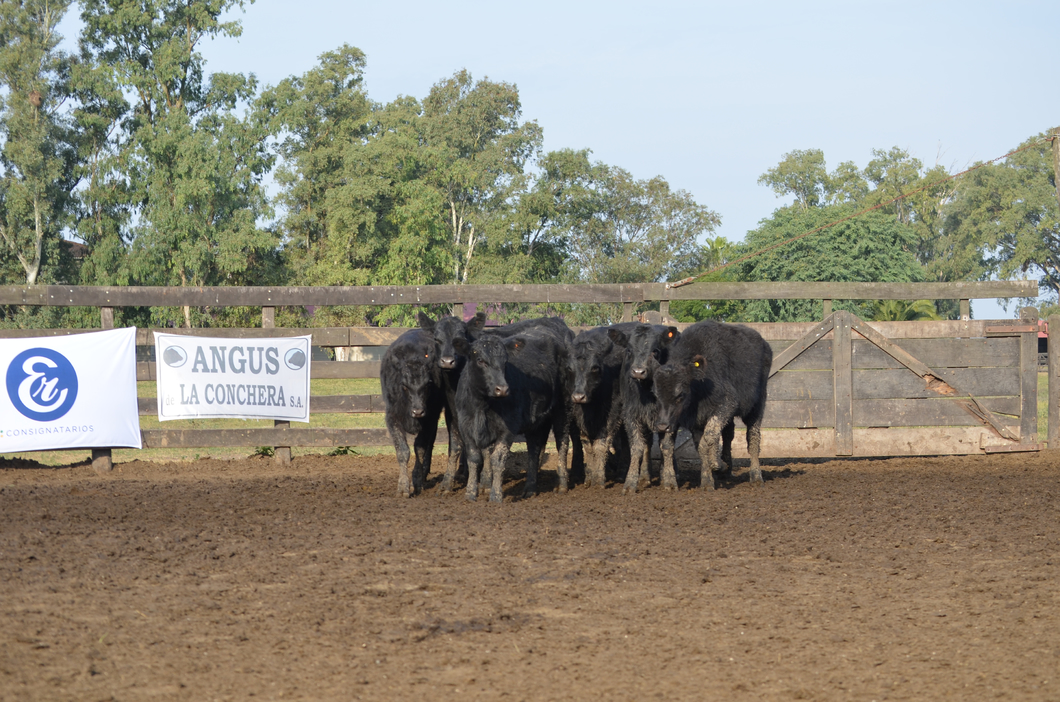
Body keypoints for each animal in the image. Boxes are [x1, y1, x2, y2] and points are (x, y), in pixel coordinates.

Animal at [379, 330, 445, 500]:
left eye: (428, 383)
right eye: (404, 385)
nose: (418, 411)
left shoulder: (429, 419)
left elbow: (420, 448)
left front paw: (417, 480)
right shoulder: (392, 417)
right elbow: (403, 451)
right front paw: (403, 486)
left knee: (430, 444)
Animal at [453, 335, 572, 502]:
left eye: (505, 362)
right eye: (481, 360)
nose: (502, 389)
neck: (481, 406)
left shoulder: (507, 429)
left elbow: (498, 459)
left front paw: (496, 496)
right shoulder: (465, 427)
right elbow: (474, 458)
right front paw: (470, 494)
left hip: (563, 408)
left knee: (562, 442)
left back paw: (561, 485)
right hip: (536, 421)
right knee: (534, 450)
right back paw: (530, 488)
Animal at [610, 322, 682, 492]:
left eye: (655, 351)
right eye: (629, 350)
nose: (638, 371)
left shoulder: (672, 417)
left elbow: (667, 446)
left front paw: (670, 479)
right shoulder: (631, 414)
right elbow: (637, 447)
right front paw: (631, 482)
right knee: (647, 443)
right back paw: (644, 476)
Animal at [652, 318, 771, 489]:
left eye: (680, 394)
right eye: (655, 394)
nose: (662, 426)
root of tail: (764, 343)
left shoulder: (726, 404)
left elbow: (710, 436)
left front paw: (717, 464)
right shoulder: (696, 421)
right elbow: (701, 447)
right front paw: (708, 481)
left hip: (756, 407)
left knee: (753, 437)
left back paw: (755, 475)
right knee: (728, 435)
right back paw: (727, 469)